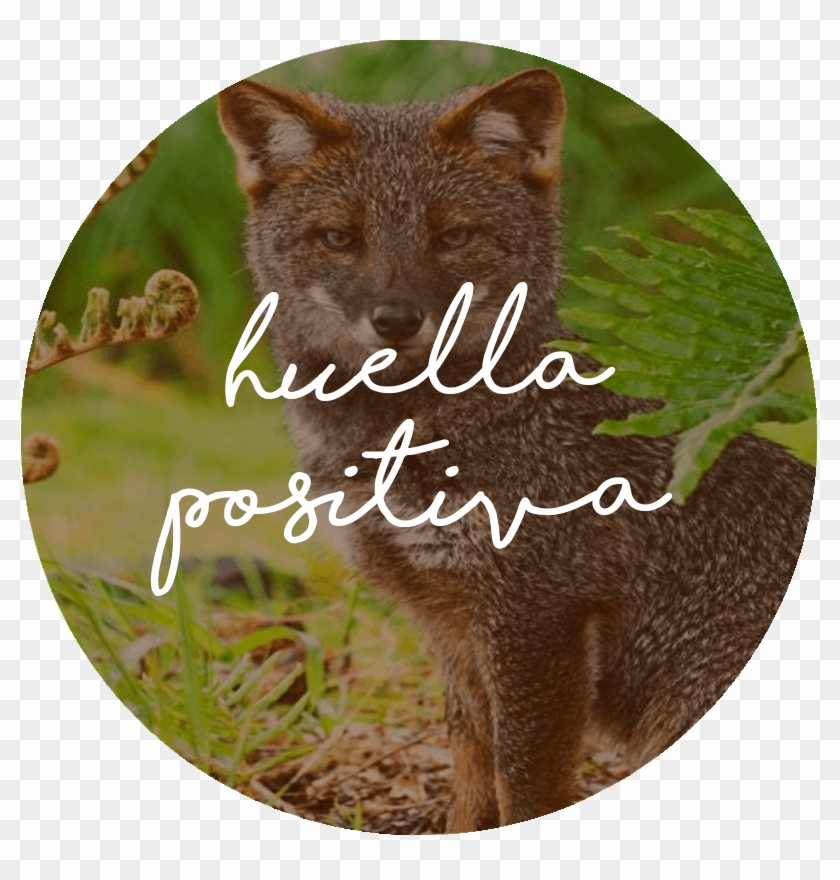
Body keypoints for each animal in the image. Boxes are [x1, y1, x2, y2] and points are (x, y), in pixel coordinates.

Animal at [217, 67, 815, 832]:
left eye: (454, 235)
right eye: (339, 238)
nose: (396, 319)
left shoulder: (538, 614)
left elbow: (524, 782)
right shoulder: (451, 623)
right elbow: (473, 776)